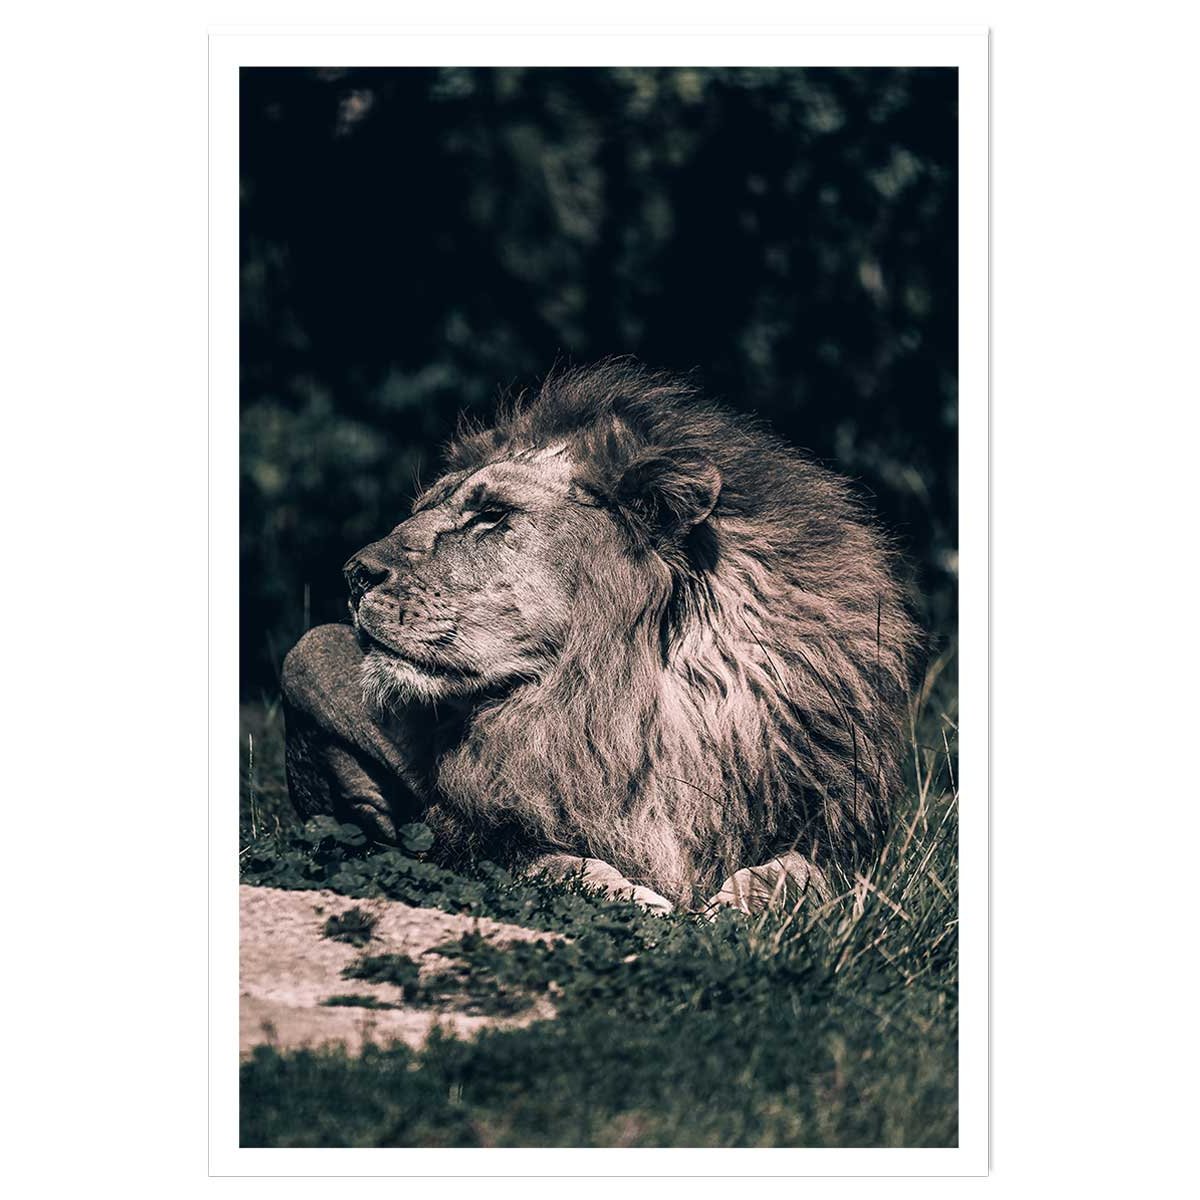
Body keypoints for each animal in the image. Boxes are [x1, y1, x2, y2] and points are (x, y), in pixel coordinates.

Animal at [281, 361, 919, 914]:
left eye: (491, 515)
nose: (353, 573)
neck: (625, 704)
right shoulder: (473, 835)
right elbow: (557, 863)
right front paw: (641, 900)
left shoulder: (839, 829)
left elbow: (804, 872)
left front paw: (739, 905)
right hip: (303, 656)